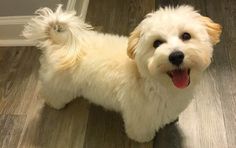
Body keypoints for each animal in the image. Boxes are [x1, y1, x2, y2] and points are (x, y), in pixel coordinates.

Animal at [22, 4, 221, 142]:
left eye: (186, 36)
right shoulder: (139, 115)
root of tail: (58, 41)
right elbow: (140, 130)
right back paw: (55, 103)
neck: (151, 81)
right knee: (51, 93)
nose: (176, 56)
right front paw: (144, 139)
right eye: (157, 43)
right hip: (58, 84)